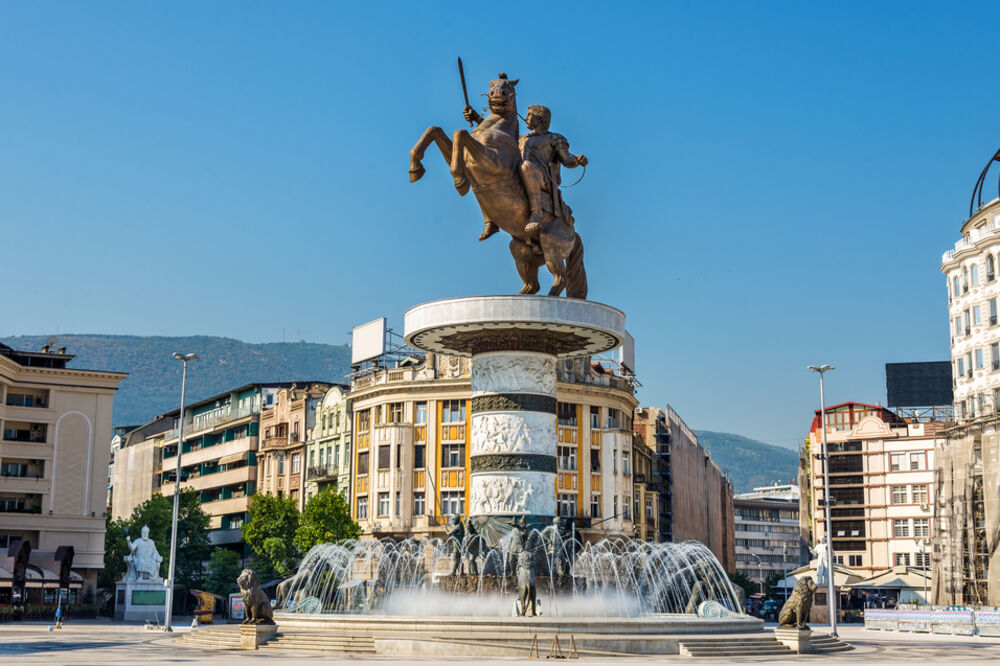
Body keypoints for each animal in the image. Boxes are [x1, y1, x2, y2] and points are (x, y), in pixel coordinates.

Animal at [410, 71, 588, 296]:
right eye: (492, 85)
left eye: (508, 86)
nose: (496, 95)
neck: (495, 128)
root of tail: (572, 229)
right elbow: (436, 130)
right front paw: (415, 167)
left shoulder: (492, 162)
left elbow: (460, 133)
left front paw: (459, 180)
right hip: (522, 250)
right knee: (533, 284)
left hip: (552, 248)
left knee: (561, 278)